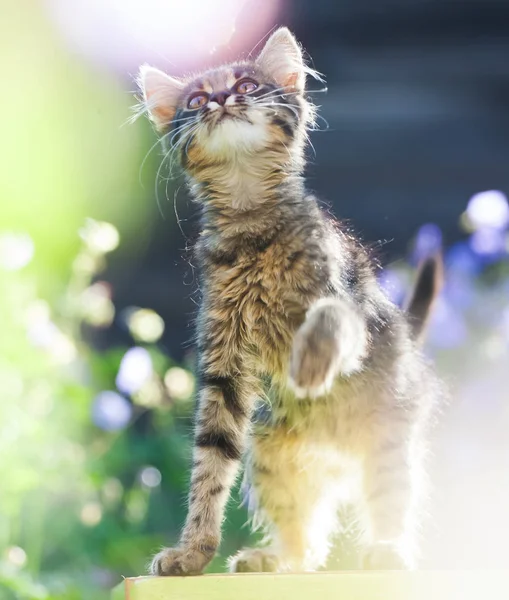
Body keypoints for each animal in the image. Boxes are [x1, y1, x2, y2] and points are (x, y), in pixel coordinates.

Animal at [135, 28, 440, 576]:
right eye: (195, 101)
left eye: (247, 84)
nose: (220, 99)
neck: (252, 225)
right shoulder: (224, 365)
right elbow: (209, 465)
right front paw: (193, 552)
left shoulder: (347, 304)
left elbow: (328, 317)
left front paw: (312, 362)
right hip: (270, 455)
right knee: (310, 545)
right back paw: (274, 559)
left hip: (389, 440)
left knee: (391, 502)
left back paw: (386, 550)